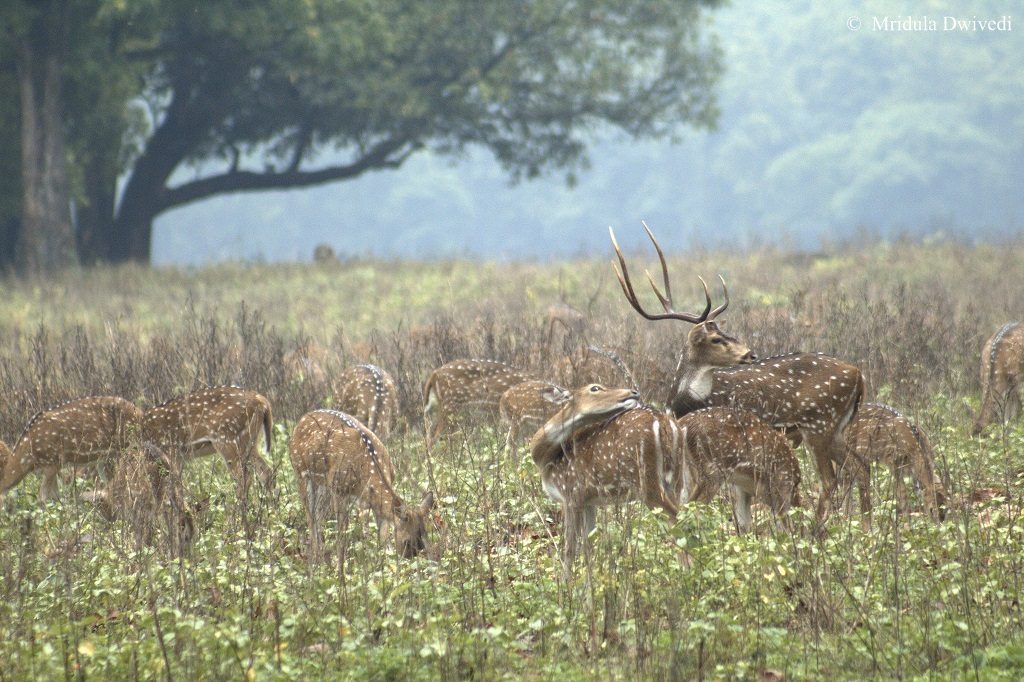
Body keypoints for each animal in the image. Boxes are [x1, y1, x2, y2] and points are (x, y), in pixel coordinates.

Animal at [0, 396, 143, 503]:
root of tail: (140, 412)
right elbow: (56, 497)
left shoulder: (53, 462)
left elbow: (42, 499)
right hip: (105, 458)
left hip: (129, 445)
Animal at [141, 386, 275, 498]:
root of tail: (262, 401)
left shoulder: (170, 451)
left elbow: (172, 489)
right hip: (250, 442)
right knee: (266, 472)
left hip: (227, 439)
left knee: (244, 478)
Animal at [289, 409, 433, 560]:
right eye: (407, 541)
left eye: (423, 541)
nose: (408, 560)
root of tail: (302, 419)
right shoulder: (338, 488)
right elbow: (342, 533)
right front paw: (340, 561)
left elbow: (382, 535)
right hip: (300, 471)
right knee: (310, 516)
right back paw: (316, 556)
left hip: (321, 483)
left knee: (318, 514)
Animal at [529, 383, 684, 576]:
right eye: (595, 388)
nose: (634, 392)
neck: (547, 461)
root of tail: (663, 422)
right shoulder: (589, 501)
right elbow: (588, 546)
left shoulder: (570, 493)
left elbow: (570, 549)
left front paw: (567, 583)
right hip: (677, 478)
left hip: (646, 481)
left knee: (676, 520)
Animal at [610, 224, 868, 522]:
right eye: (715, 339)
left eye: (723, 332)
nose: (750, 354)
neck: (680, 404)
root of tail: (859, 376)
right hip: (836, 428)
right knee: (861, 466)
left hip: (818, 424)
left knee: (830, 479)